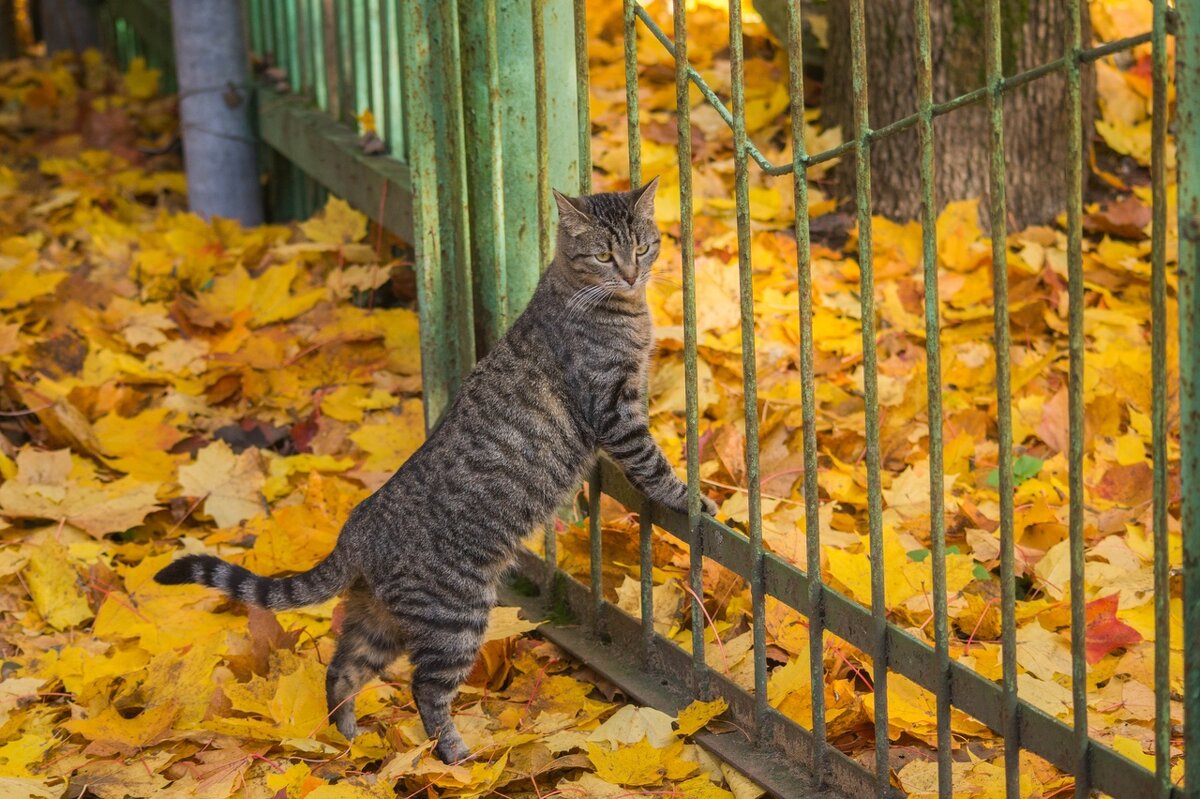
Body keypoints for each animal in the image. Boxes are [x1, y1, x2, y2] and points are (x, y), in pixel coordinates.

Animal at [150, 177, 710, 763]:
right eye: (603, 255)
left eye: (641, 247)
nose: (630, 272)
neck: (611, 304)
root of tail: (357, 530)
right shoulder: (614, 409)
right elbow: (652, 464)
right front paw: (691, 498)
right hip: (455, 619)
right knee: (426, 691)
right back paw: (458, 759)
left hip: (380, 623)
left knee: (341, 671)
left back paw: (350, 742)